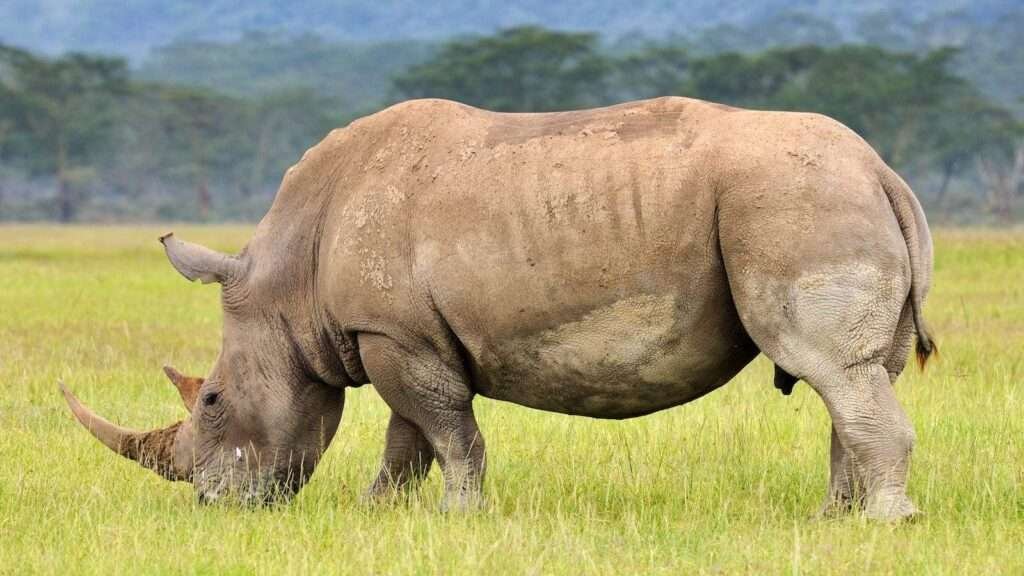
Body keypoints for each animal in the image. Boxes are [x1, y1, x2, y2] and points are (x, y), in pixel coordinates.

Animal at [61, 97, 935, 520]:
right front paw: (377, 513)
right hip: (816, 197)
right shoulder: (397, 331)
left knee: (834, 371)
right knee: (850, 377)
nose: (212, 506)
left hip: (793, 202)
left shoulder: (393, 332)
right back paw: (830, 521)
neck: (286, 288)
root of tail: (885, 170)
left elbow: (446, 429)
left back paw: (885, 524)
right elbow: (408, 436)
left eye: (211, 400)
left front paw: (457, 516)